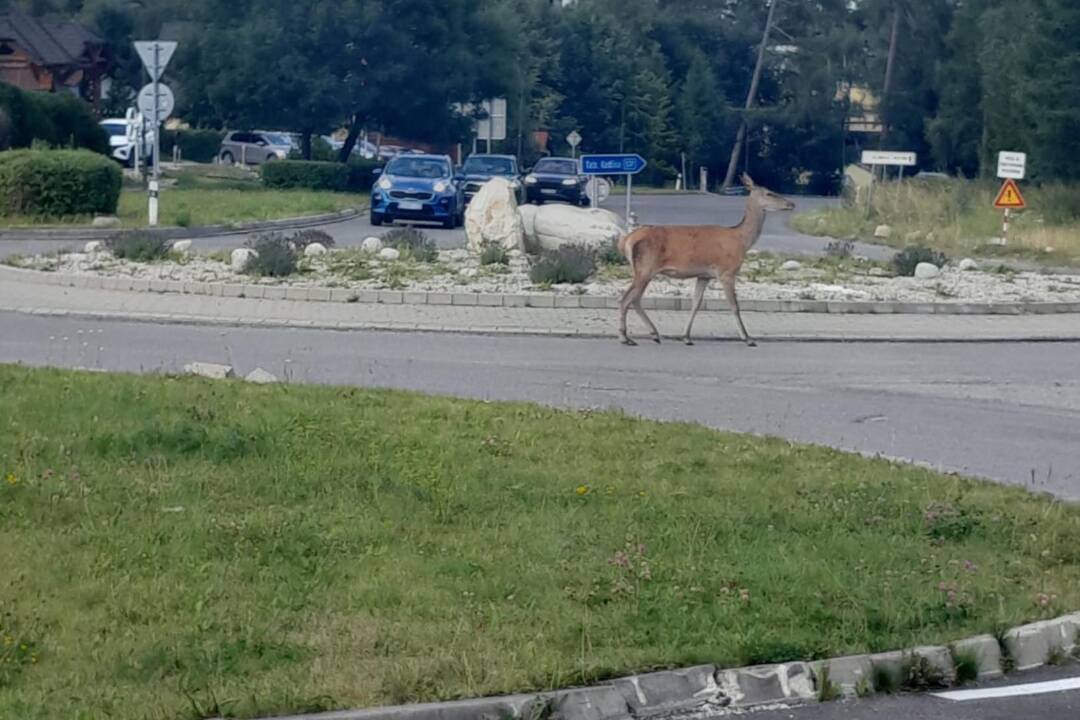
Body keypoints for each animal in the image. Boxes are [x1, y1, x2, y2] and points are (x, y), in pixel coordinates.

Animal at [617, 172, 794, 347]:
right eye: (769, 193)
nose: (791, 203)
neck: (741, 240)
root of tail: (627, 240)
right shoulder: (726, 271)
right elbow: (734, 305)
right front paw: (748, 338)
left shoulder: (704, 275)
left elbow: (696, 303)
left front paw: (686, 337)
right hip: (645, 268)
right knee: (626, 299)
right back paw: (625, 337)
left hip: (644, 270)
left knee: (635, 299)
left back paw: (654, 334)